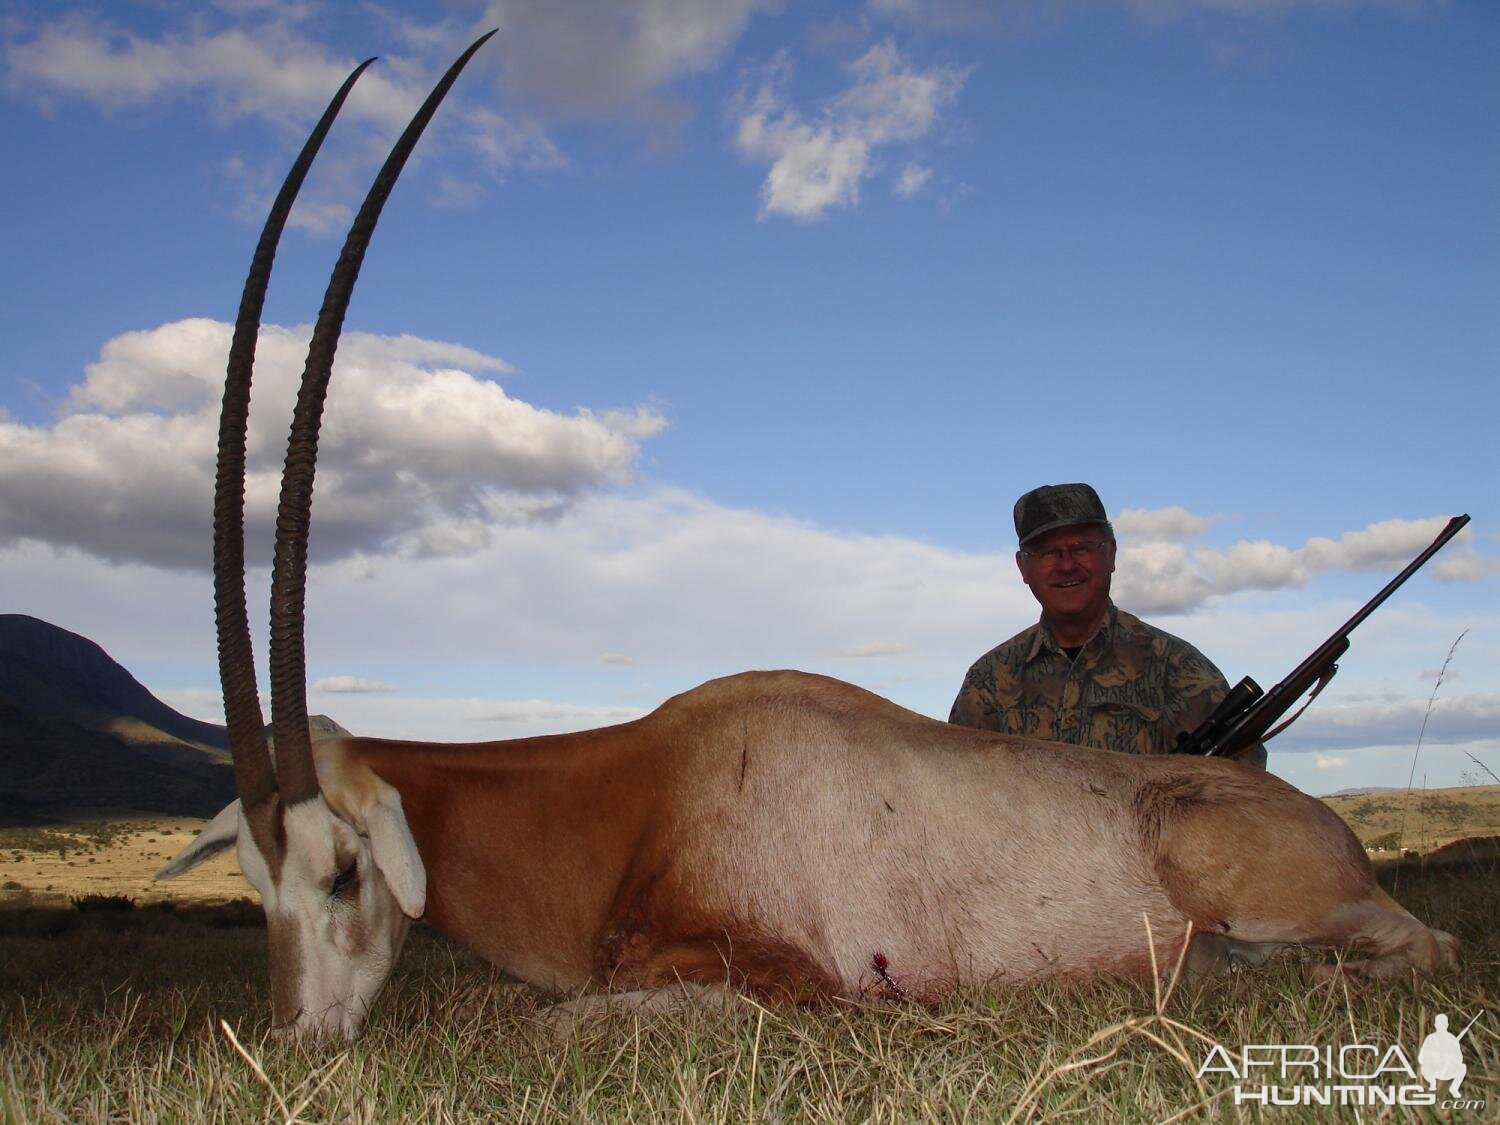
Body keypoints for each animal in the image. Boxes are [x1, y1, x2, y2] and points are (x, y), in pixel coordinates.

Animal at [161, 35, 1452, 1038]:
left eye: (342, 874)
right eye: (253, 885)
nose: (302, 1040)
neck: (633, 797)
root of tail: (1329, 825)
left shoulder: (783, 979)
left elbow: (561, 1020)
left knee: (1421, 946)